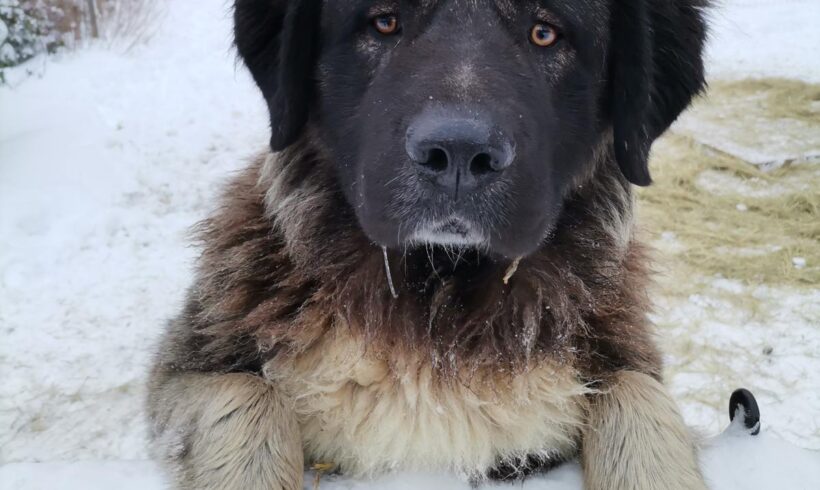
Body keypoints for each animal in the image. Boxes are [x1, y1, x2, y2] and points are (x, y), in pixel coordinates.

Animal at [147, 1, 712, 488]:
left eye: (544, 32)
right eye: (384, 22)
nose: (458, 153)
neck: (437, 297)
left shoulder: (618, 361)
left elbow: (638, 399)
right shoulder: (189, 366)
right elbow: (248, 398)